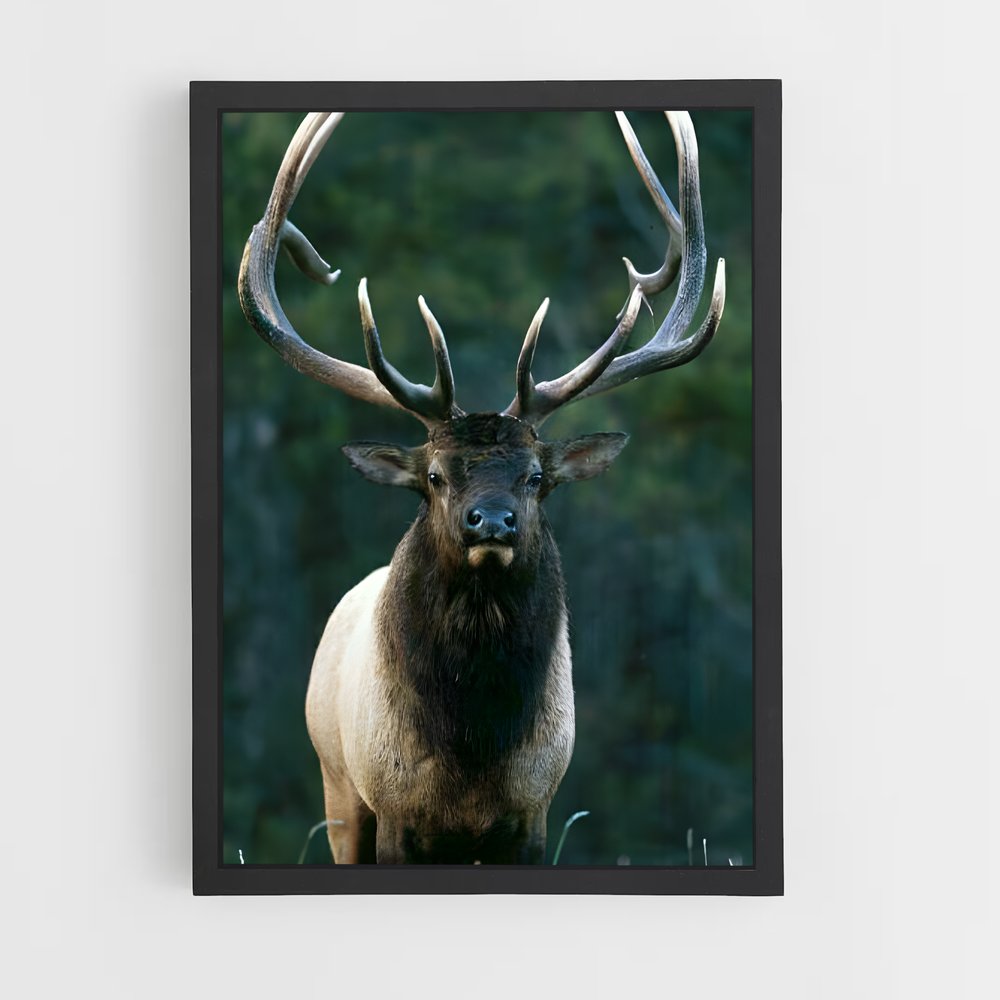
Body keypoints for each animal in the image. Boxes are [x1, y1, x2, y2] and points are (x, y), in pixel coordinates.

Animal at [238, 110, 726, 864]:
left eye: (536, 478)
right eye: (435, 476)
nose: (491, 522)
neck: (472, 752)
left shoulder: (534, 809)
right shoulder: (392, 809)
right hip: (338, 789)